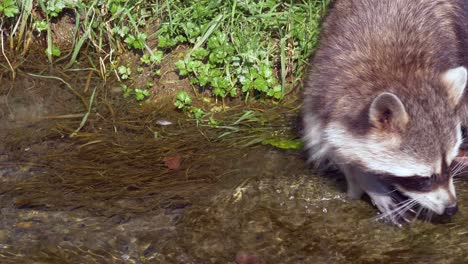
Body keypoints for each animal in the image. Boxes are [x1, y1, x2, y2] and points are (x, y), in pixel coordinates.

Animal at [304, 0, 468, 224]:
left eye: (450, 165)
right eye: (424, 179)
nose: (452, 208)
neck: (398, 73)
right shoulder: (323, 93)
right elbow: (330, 144)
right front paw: (369, 182)